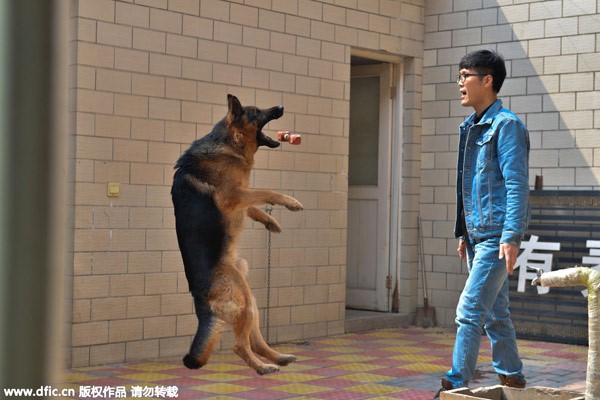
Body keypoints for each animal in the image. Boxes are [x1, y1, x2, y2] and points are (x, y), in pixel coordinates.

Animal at [170, 94, 302, 376]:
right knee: (240, 346)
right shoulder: (233, 196)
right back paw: (262, 367)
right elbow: (265, 192)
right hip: (243, 300)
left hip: (250, 298)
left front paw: (271, 222)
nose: (281, 107)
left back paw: (278, 357)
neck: (229, 143)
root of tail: (200, 301)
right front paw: (289, 201)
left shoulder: (239, 198)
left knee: (256, 342)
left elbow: (254, 204)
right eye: (256, 112)